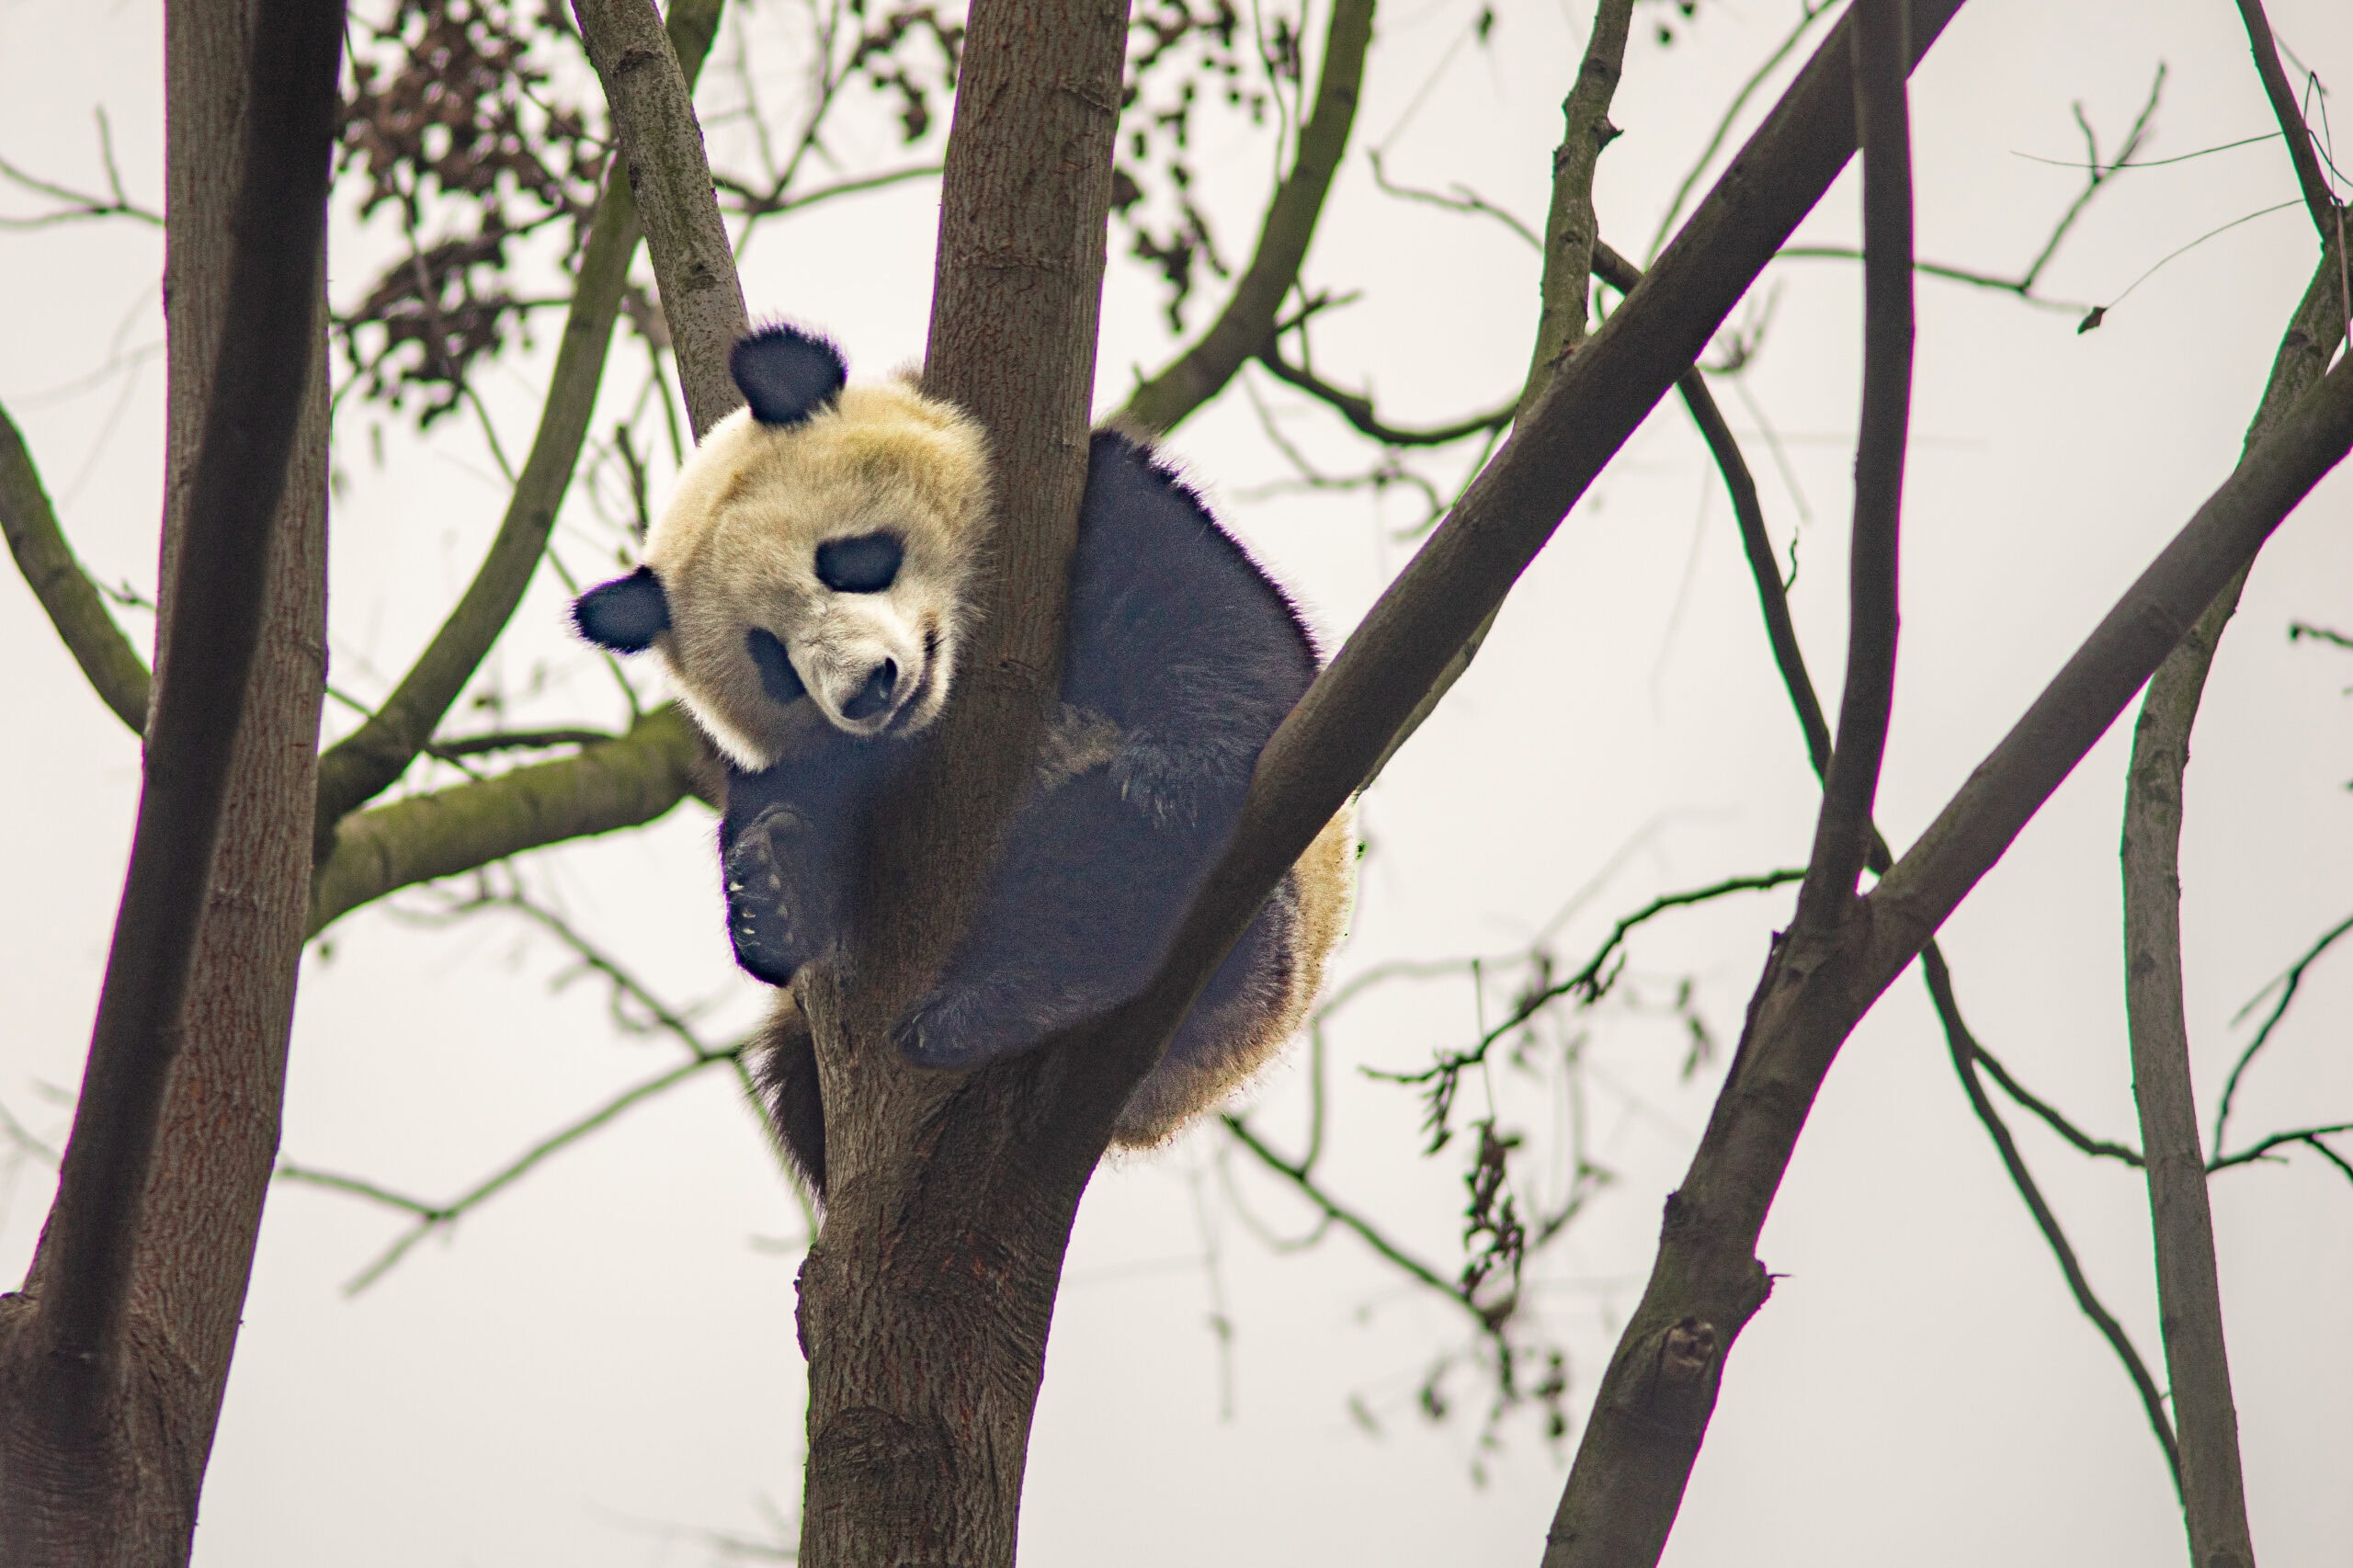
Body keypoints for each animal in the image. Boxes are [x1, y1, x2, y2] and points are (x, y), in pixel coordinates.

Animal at [573, 323, 1354, 1200]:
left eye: (849, 559)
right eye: (771, 660)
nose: (868, 692)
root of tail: (1158, 1101)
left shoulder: (1084, 503)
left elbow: (1208, 616)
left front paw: (1174, 773)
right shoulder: (811, 760)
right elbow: (784, 809)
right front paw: (772, 885)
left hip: (1267, 934)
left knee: (1110, 869)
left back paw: (1007, 998)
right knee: (793, 1078)